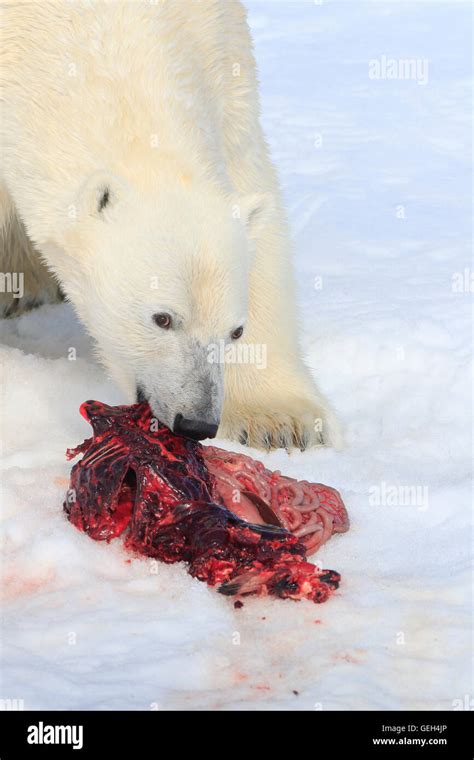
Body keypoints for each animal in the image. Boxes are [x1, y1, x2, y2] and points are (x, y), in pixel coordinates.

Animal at [0, 0, 340, 452]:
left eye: (236, 330)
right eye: (162, 318)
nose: (196, 422)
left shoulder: (221, 48)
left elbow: (252, 187)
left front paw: (278, 420)